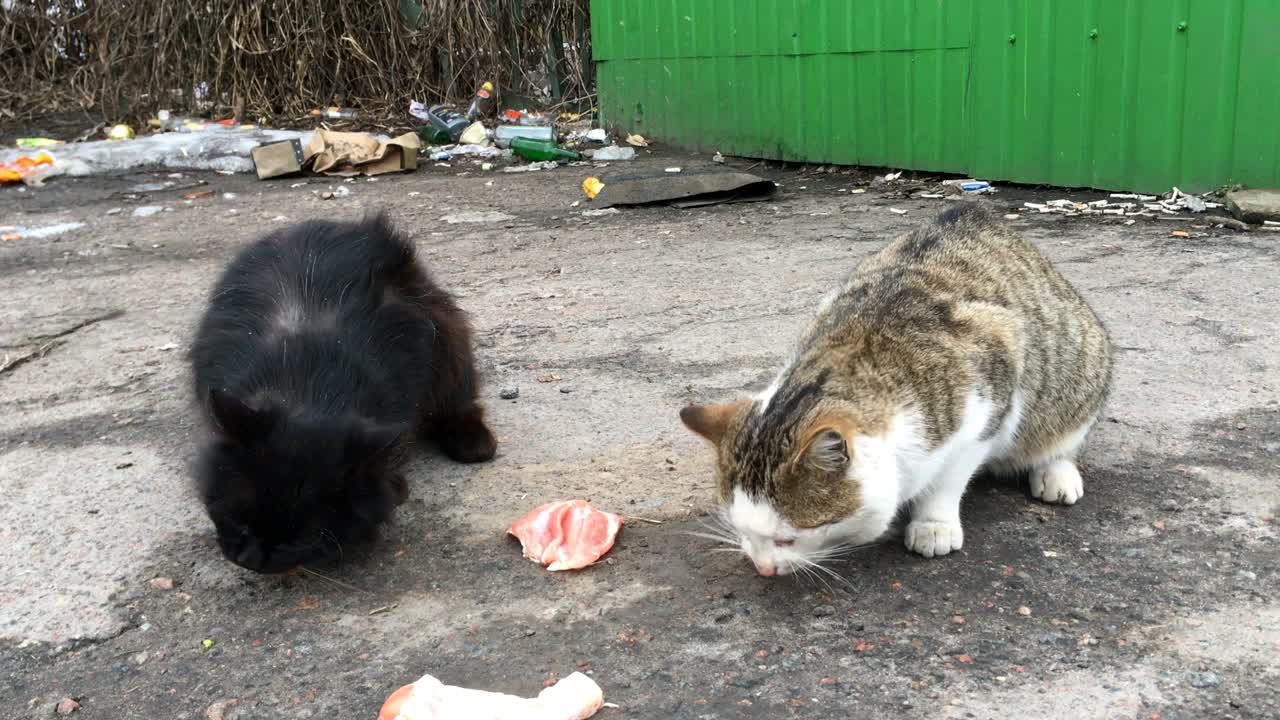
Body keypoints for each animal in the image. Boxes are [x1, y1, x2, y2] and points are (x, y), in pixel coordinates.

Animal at [189, 210, 494, 568]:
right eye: (238, 521)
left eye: (299, 539)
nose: (251, 559)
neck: (305, 386)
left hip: (446, 337)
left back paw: (473, 441)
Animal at [680, 204, 1111, 573]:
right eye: (740, 530)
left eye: (788, 538)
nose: (763, 567)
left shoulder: (990, 389)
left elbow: (950, 477)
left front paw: (933, 523)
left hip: (1082, 364)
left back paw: (1056, 471)